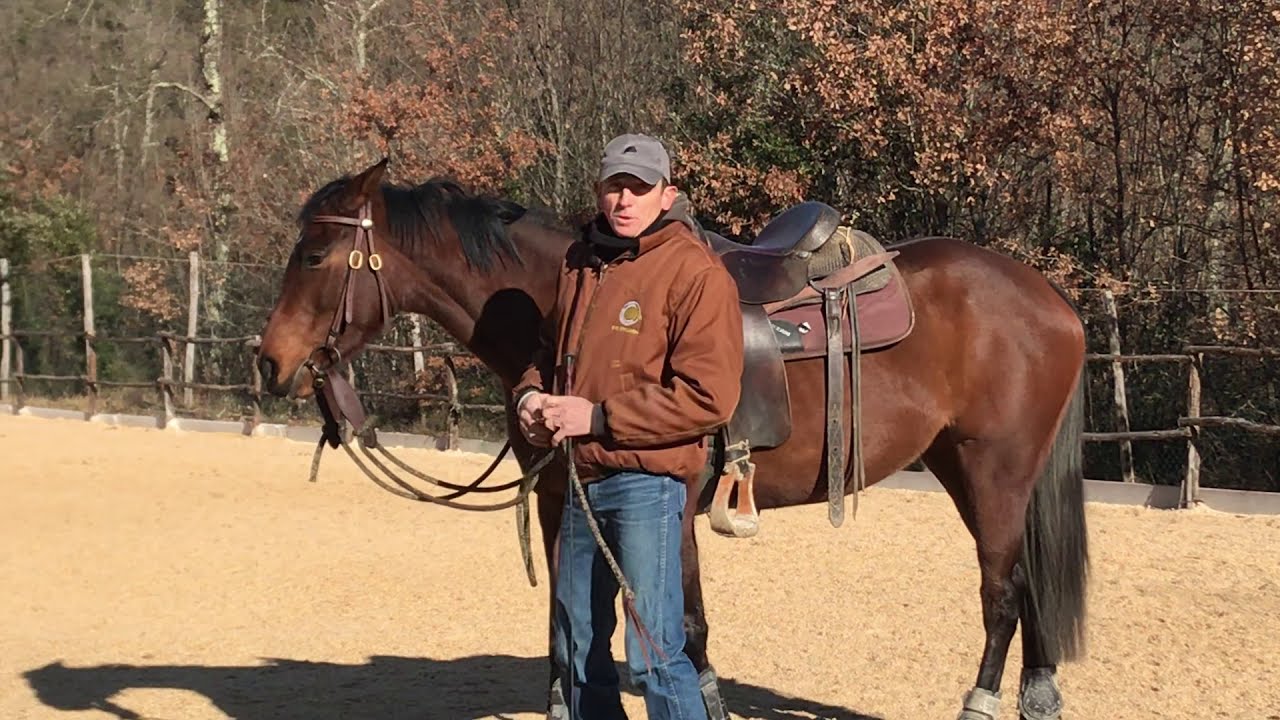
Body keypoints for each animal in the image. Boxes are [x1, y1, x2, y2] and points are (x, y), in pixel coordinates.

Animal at [255, 159, 1089, 720]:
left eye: (315, 255)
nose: (270, 362)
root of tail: (1048, 296)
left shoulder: (673, 503)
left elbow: (680, 627)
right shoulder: (561, 499)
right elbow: (569, 618)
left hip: (994, 470)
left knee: (1003, 590)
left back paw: (981, 699)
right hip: (966, 466)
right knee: (1031, 585)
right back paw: (1040, 692)